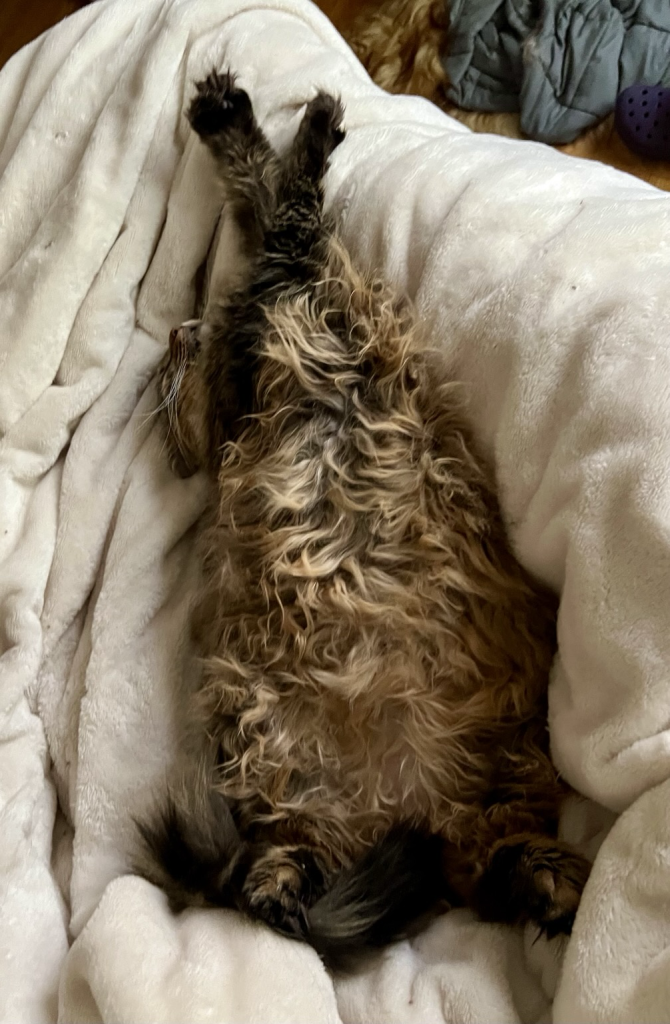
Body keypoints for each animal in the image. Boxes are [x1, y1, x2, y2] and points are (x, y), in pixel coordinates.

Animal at [138, 70, 594, 966]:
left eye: (171, 363)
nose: (174, 331)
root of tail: (407, 809)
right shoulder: (286, 280)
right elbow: (277, 191)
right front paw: (254, 122)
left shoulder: (281, 293)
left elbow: (268, 195)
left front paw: (254, 121)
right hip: (269, 738)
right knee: (286, 888)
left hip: (487, 781)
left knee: (473, 865)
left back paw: (547, 886)